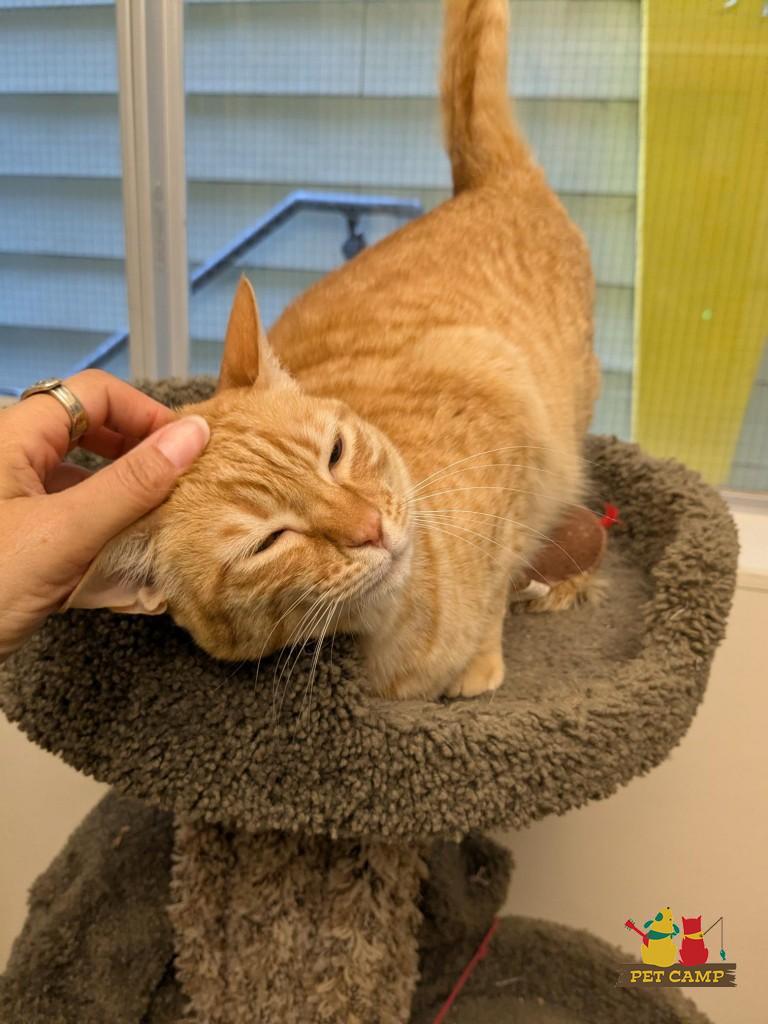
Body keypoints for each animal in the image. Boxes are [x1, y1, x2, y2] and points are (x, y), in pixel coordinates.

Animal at [68, 0, 600, 700]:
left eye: (337, 454)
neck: (403, 630)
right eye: (268, 543)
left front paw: (479, 659)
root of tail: (478, 187)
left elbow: (499, 576)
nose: (371, 528)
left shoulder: (504, 397)